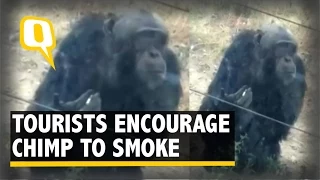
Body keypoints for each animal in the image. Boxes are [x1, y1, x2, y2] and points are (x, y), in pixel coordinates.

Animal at [20, 10, 182, 180]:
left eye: (158, 39)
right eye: (144, 36)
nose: (154, 53)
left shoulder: (171, 66)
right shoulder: (79, 42)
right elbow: (43, 104)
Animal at [200, 23, 308, 173]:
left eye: (291, 48)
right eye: (281, 46)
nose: (288, 59)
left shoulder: (299, 68)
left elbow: (280, 123)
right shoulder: (238, 46)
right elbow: (216, 91)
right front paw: (230, 104)